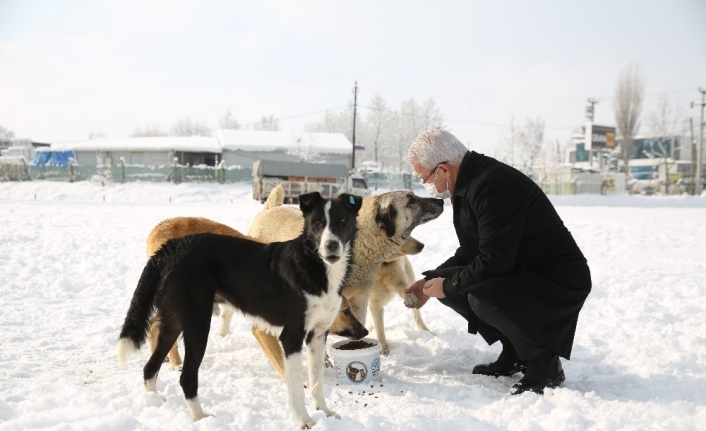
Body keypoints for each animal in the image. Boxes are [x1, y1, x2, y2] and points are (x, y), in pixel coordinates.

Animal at [117, 192, 360, 428]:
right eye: (317, 222)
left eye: (342, 221)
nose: (331, 245)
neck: (314, 266)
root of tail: (172, 247)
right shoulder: (291, 337)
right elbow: (296, 386)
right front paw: (304, 421)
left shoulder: (317, 335)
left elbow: (317, 382)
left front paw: (325, 413)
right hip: (198, 324)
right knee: (186, 376)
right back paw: (201, 418)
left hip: (175, 321)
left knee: (150, 366)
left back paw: (153, 402)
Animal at [223, 186, 440, 378]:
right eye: (410, 200)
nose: (440, 200)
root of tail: (268, 209)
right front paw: (324, 360)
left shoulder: (360, 298)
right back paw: (224, 335)